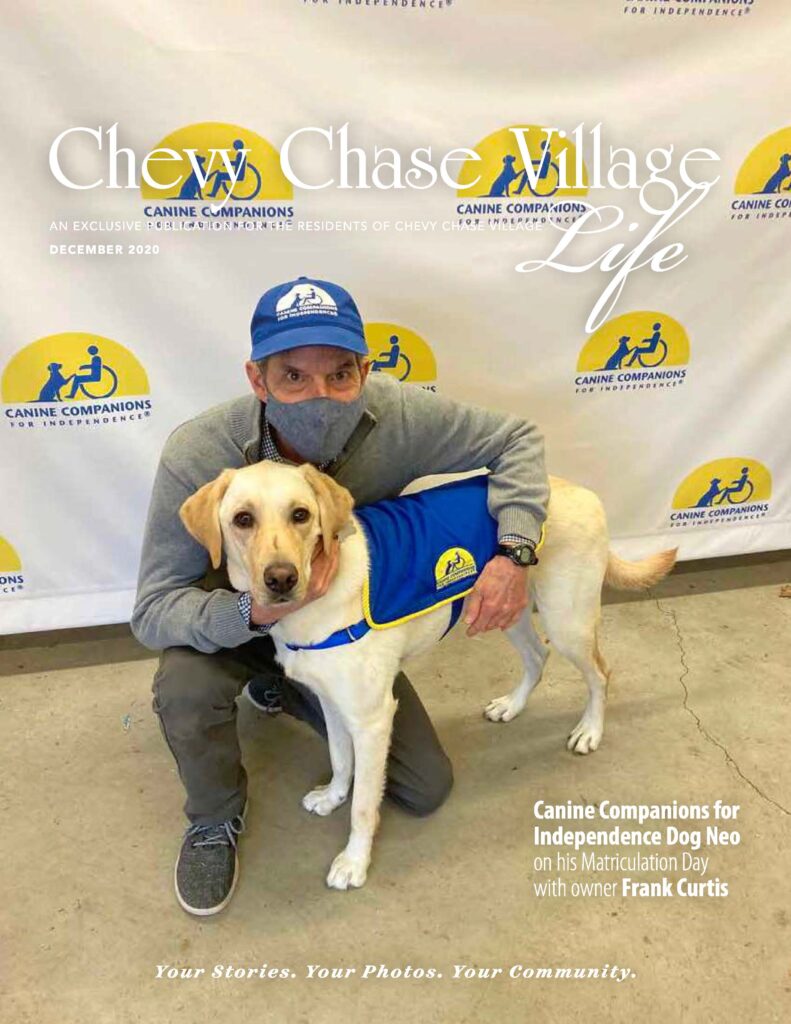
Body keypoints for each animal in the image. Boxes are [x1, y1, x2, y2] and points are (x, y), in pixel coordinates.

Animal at [179, 460, 672, 892]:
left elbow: (364, 805)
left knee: (601, 674)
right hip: (506, 603)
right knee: (537, 657)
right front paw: (333, 796)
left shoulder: (373, 720)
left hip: (566, 619)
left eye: (300, 514)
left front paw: (354, 862)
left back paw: (590, 731)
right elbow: (340, 760)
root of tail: (578, 489)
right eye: (243, 519)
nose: (281, 578)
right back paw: (511, 707)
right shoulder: (334, 704)